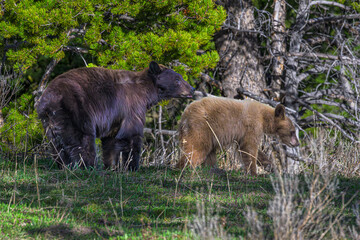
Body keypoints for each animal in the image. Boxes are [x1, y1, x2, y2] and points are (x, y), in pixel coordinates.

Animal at [36, 62, 194, 171]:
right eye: (177, 79)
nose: (192, 89)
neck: (146, 92)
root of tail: (47, 101)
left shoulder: (115, 117)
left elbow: (111, 141)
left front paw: (112, 165)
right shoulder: (132, 106)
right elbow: (131, 135)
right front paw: (132, 166)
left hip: (50, 122)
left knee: (57, 145)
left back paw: (64, 165)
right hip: (75, 109)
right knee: (83, 139)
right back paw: (88, 166)